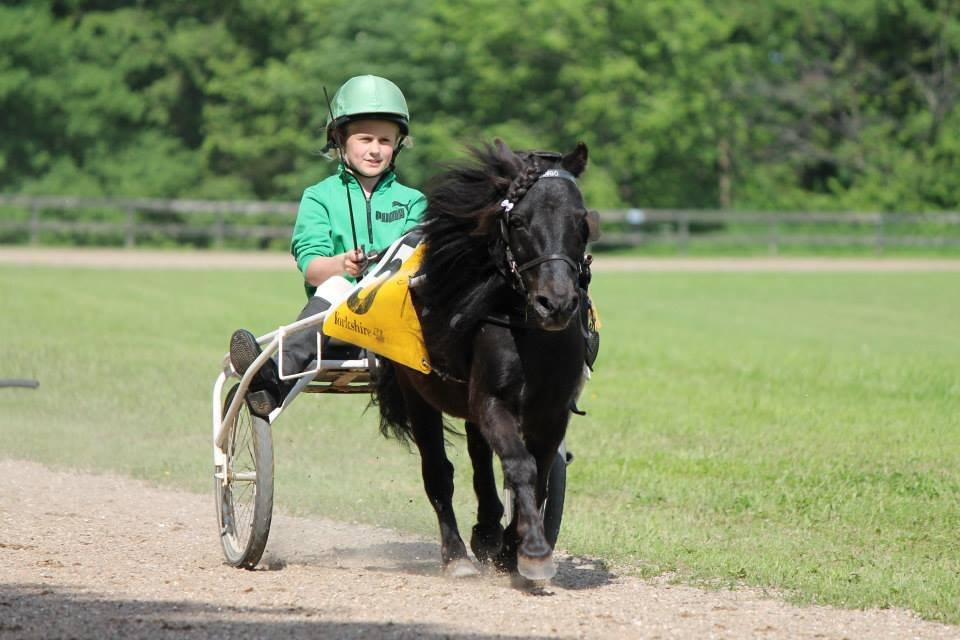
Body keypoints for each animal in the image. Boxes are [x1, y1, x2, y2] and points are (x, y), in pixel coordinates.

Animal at [374, 140, 592, 580]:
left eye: (582, 222)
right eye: (519, 221)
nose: (556, 303)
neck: (530, 332)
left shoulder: (552, 410)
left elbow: (539, 474)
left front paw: (511, 546)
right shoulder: (491, 400)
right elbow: (519, 464)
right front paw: (533, 549)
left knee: (479, 457)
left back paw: (488, 530)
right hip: (415, 390)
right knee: (438, 472)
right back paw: (456, 554)